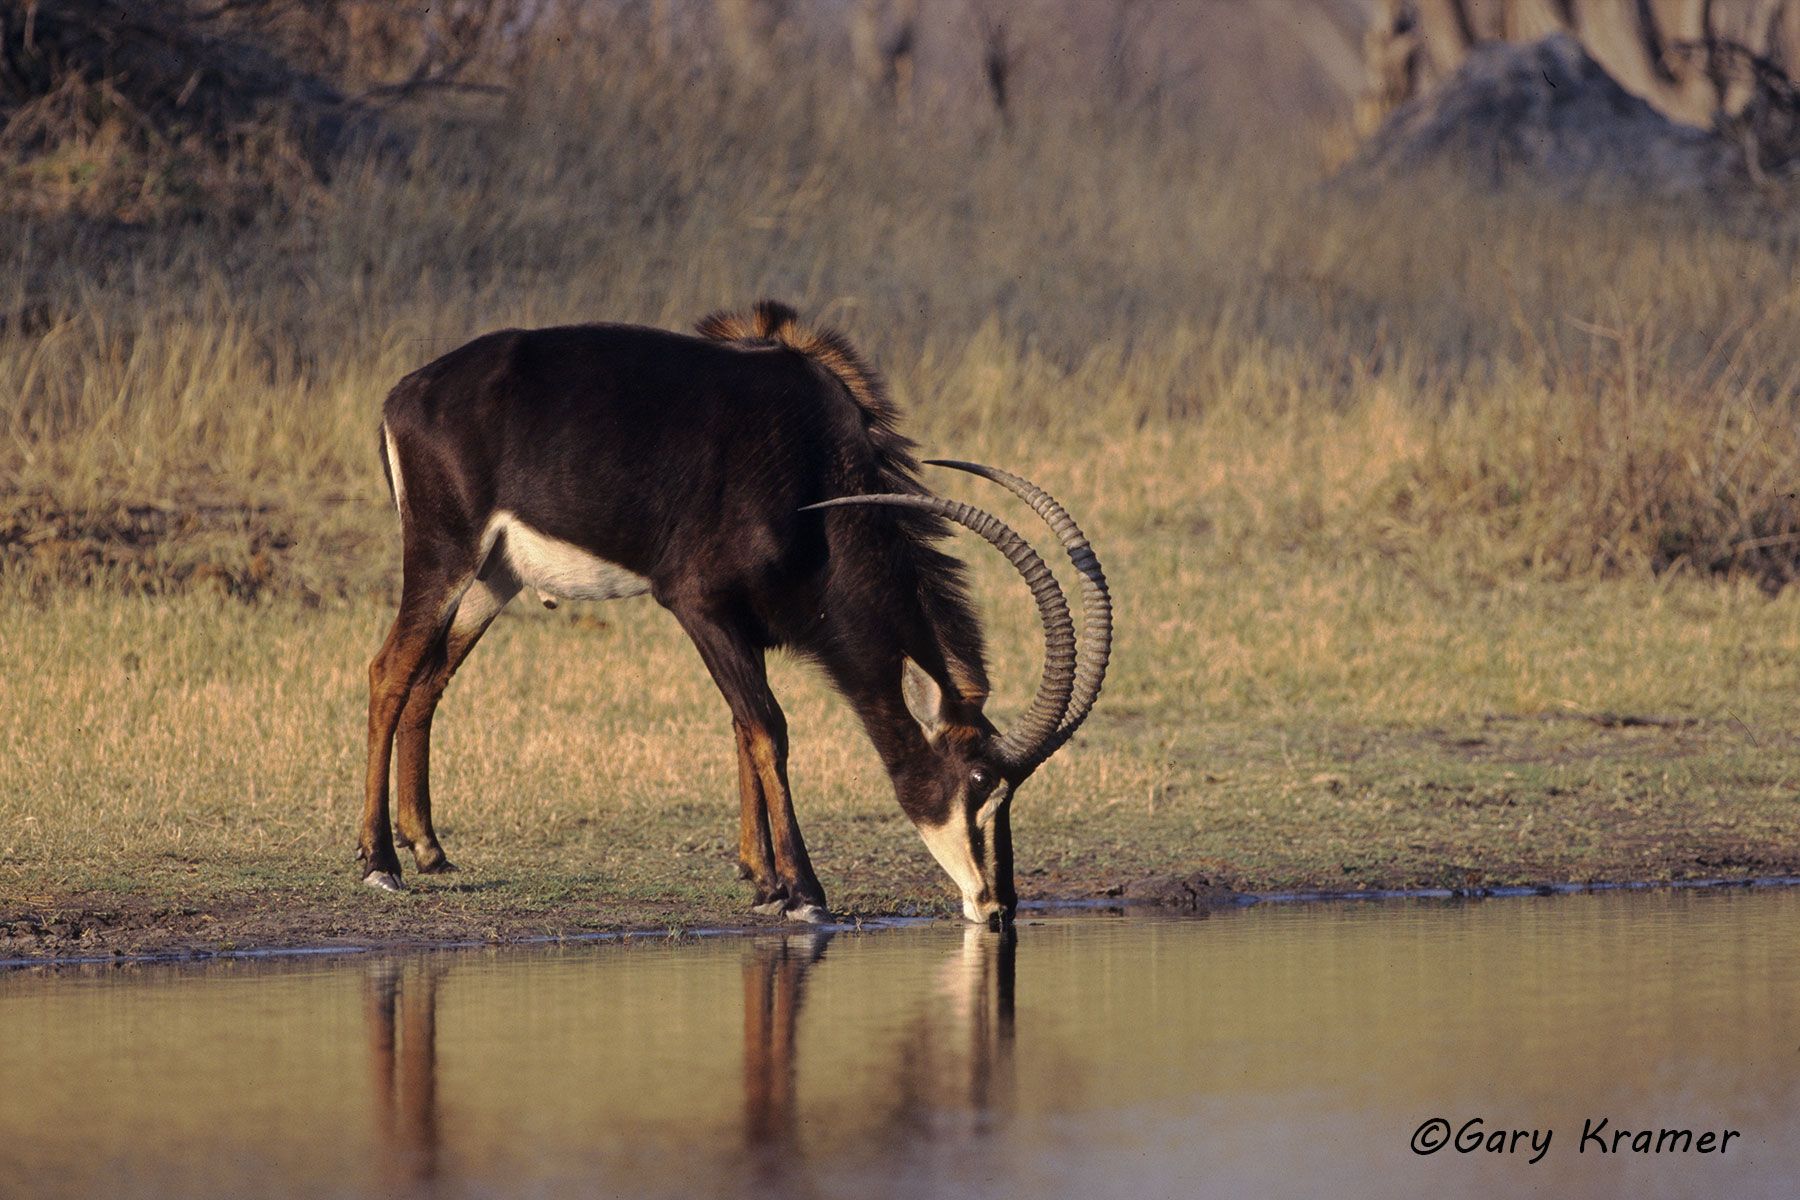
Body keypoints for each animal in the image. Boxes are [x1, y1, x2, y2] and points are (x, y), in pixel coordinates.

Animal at [363, 301, 1111, 925]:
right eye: (982, 781)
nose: (999, 907)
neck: (811, 466)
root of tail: (404, 394)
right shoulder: (697, 603)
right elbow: (768, 729)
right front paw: (803, 892)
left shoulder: (748, 626)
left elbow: (741, 728)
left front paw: (762, 879)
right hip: (444, 555)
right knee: (389, 672)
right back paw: (380, 863)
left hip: (493, 579)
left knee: (430, 679)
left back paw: (429, 850)